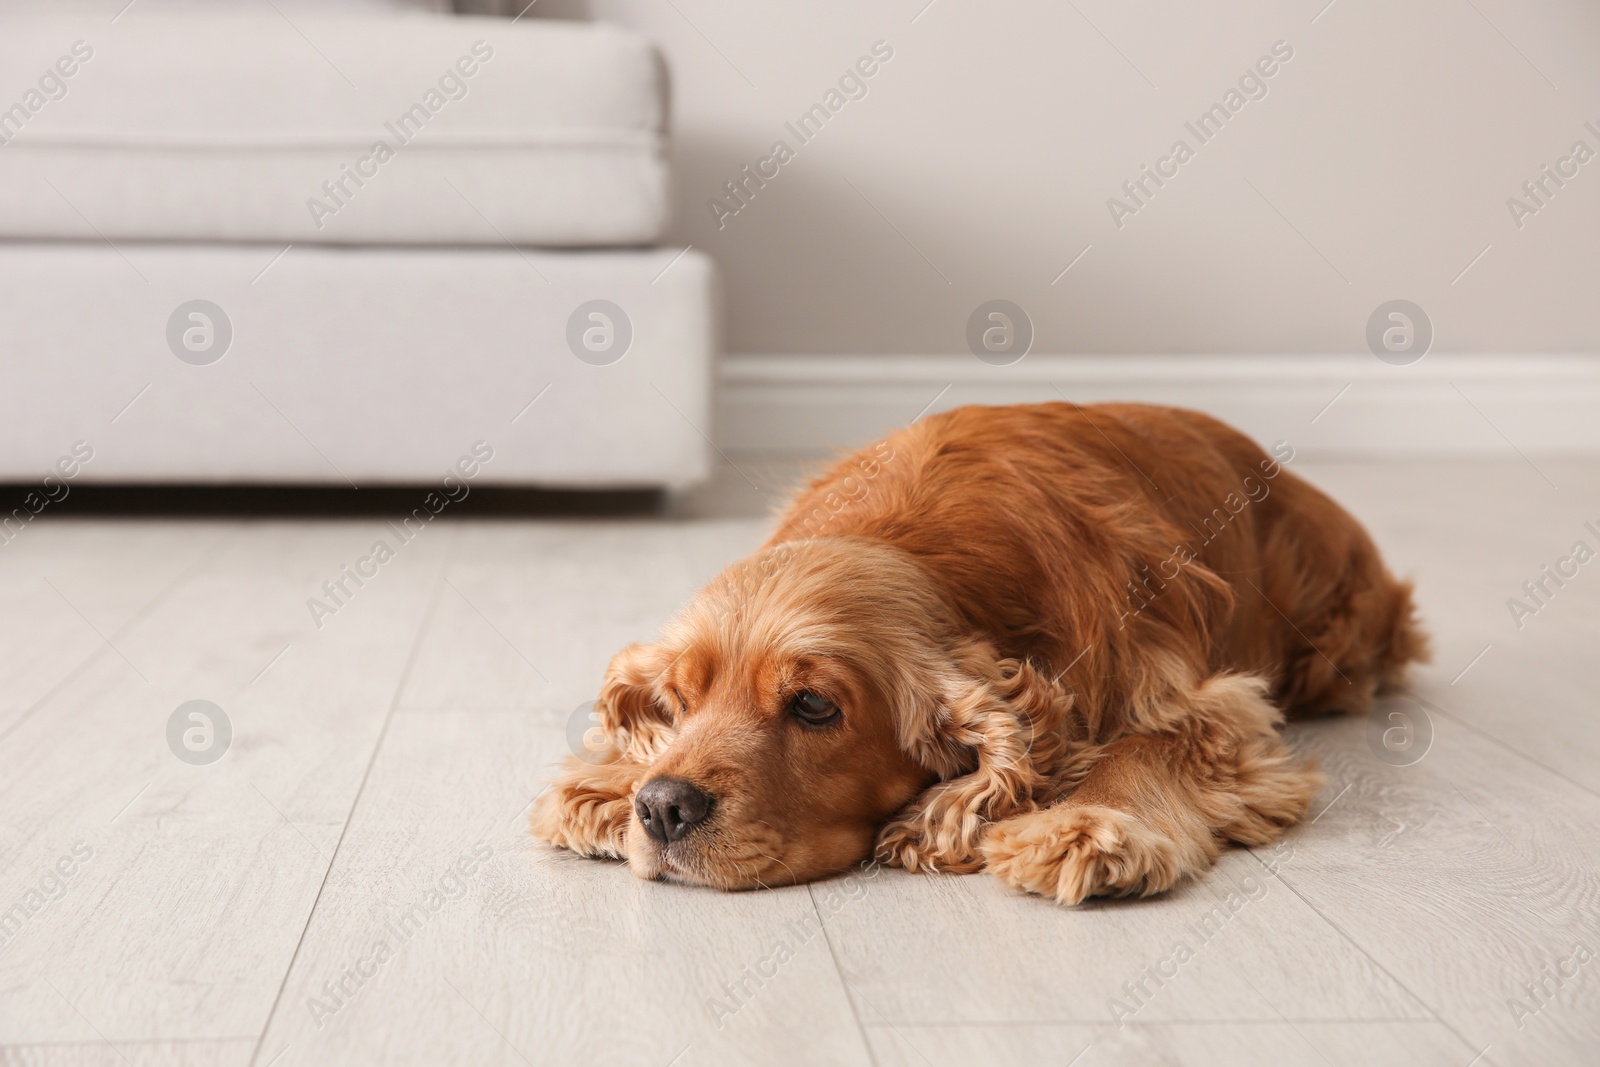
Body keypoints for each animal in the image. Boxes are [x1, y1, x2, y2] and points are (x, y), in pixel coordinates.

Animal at [534, 404, 1427, 908]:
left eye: (815, 705)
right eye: (678, 702)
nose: (663, 807)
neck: (922, 546)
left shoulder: (1200, 697)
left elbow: (1153, 742)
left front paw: (1087, 826)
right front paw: (603, 787)